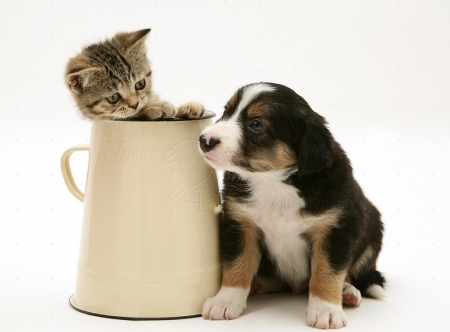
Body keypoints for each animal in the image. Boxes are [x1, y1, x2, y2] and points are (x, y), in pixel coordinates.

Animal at [64, 29, 205, 120]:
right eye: (113, 98)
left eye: (140, 84)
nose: (135, 104)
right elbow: (125, 115)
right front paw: (154, 107)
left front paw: (188, 107)